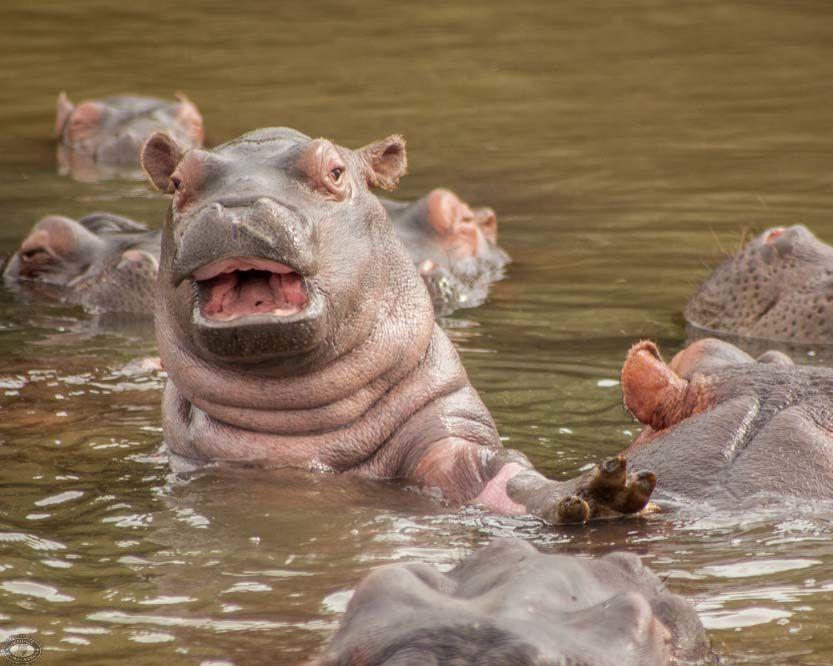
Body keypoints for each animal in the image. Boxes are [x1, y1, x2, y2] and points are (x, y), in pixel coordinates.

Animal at [138, 127, 656, 520]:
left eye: (335, 171)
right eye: (179, 181)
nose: (239, 208)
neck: (302, 426)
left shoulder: (444, 428)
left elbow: (497, 474)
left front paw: (599, 493)